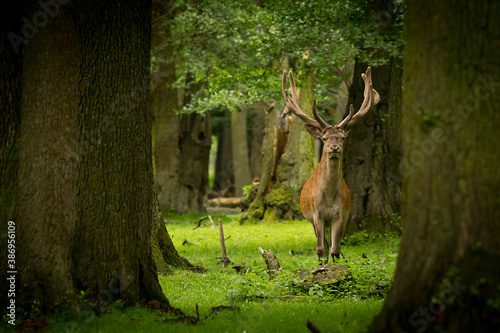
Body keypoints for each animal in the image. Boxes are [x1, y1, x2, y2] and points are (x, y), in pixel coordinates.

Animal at [282, 67, 378, 264]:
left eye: (342, 137)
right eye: (325, 138)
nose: (335, 148)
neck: (328, 197)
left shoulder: (340, 214)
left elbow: (335, 249)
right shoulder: (316, 213)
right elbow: (320, 249)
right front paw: (321, 267)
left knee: (333, 245)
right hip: (312, 219)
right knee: (323, 245)